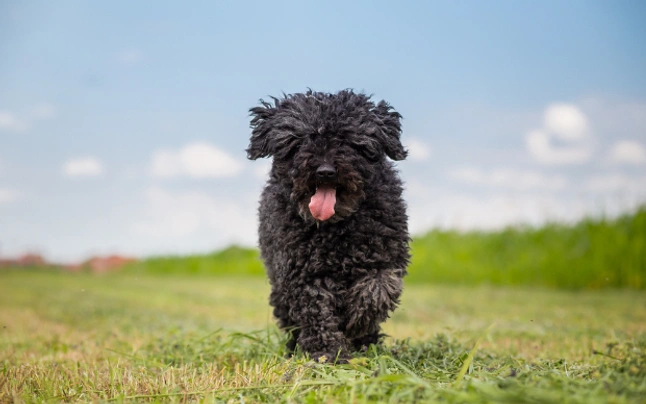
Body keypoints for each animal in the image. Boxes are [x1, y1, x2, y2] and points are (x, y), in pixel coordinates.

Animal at [248, 89, 410, 362]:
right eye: (301, 141)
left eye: (347, 140)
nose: (325, 171)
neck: (336, 228)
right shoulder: (302, 273)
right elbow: (317, 313)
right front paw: (327, 354)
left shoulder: (386, 258)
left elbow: (377, 289)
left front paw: (357, 322)